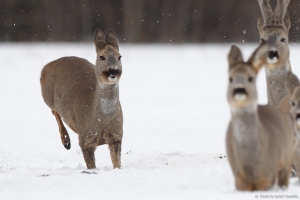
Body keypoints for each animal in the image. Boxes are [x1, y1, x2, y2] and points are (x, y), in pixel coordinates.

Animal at [40, 28, 123, 169]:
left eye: (119, 57)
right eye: (102, 57)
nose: (114, 70)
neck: (101, 119)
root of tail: (47, 66)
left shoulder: (116, 135)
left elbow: (117, 164)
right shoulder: (85, 138)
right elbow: (91, 166)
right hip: (46, 95)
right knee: (54, 111)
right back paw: (66, 142)